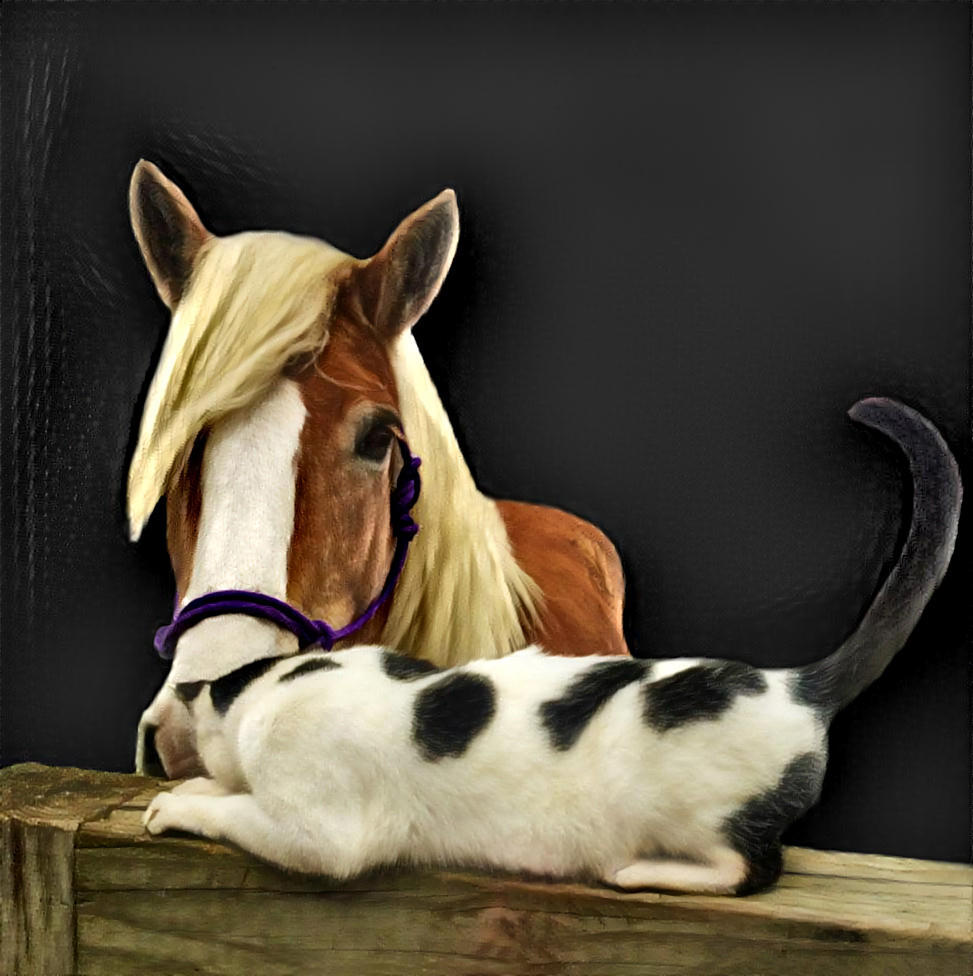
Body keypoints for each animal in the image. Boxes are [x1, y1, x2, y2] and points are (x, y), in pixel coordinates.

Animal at [140, 396, 960, 892]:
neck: (272, 685)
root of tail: (795, 684)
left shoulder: (319, 831)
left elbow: (242, 815)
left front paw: (183, 803)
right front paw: (198, 787)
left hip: (709, 820)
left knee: (753, 869)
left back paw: (640, 871)